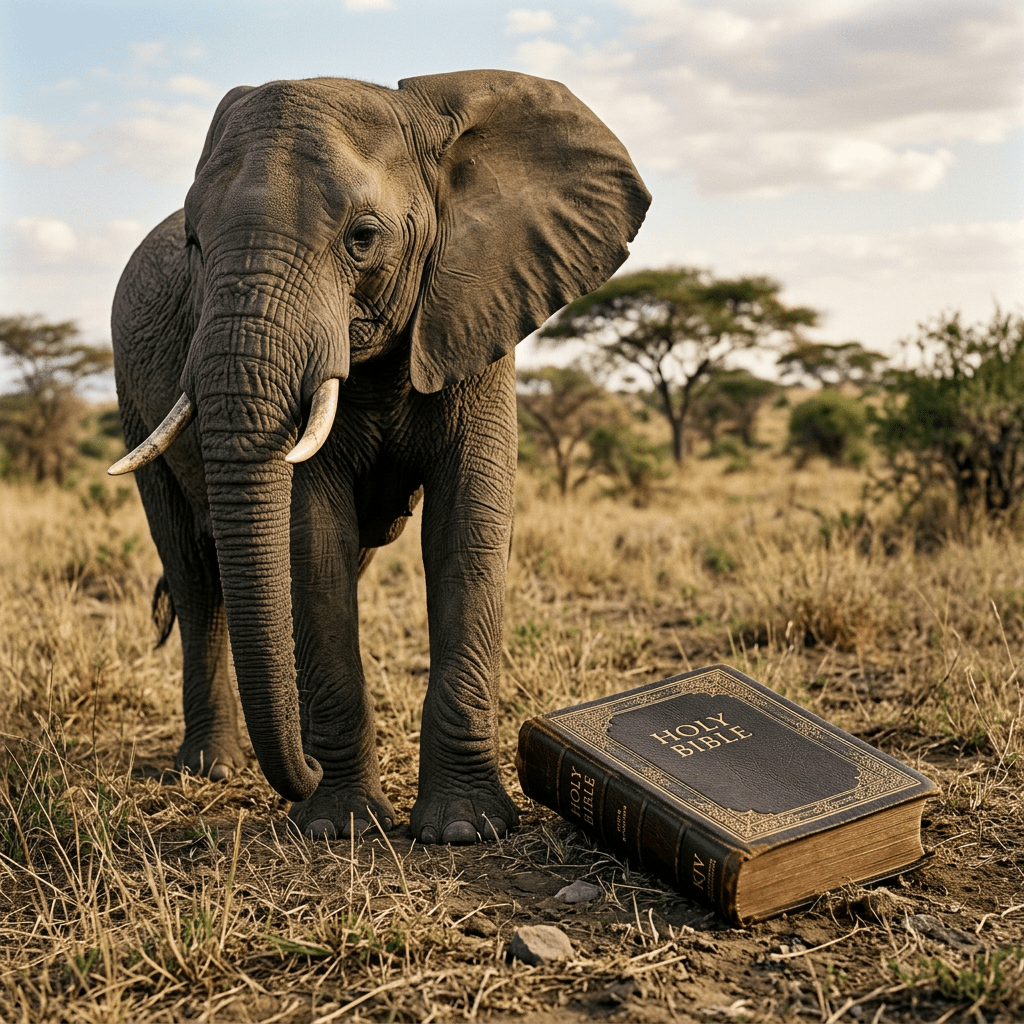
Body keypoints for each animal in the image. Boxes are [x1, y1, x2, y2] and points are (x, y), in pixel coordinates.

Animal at [108, 70, 650, 844]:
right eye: (194, 245)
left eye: (363, 239)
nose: (301, 777)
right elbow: (313, 540)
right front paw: (340, 827)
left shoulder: (477, 305)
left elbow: (466, 531)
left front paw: (464, 830)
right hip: (132, 400)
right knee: (193, 573)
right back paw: (213, 767)